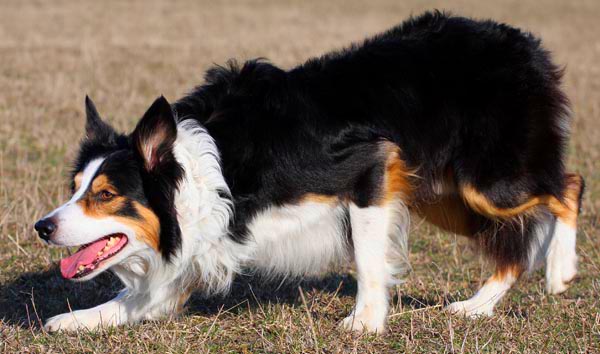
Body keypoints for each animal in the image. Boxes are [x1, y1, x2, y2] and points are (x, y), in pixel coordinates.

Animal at [35, 11, 584, 332]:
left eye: (106, 194)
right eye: (76, 188)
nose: (42, 226)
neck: (206, 173)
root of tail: (524, 44)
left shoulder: (369, 170)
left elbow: (367, 258)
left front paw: (364, 324)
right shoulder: (197, 247)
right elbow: (135, 299)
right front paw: (68, 321)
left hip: (488, 180)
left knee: (567, 187)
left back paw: (560, 270)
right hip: (443, 194)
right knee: (516, 245)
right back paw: (476, 307)